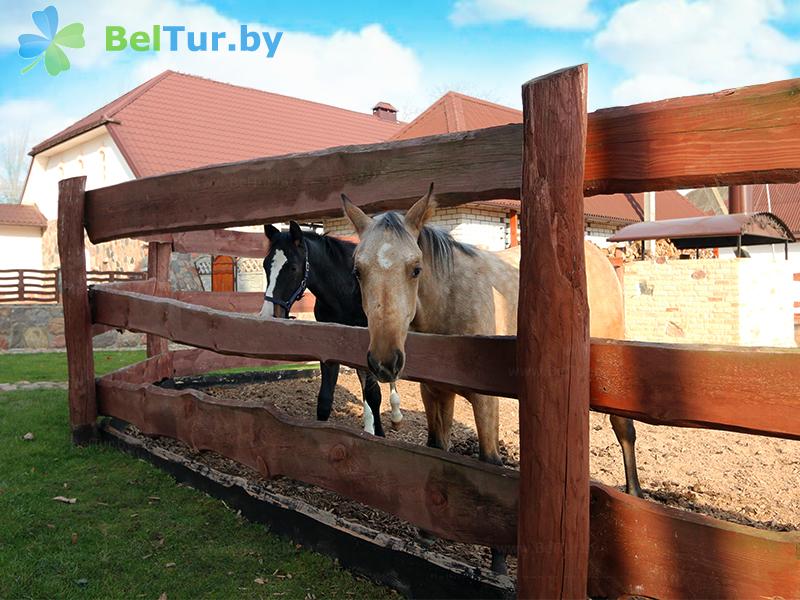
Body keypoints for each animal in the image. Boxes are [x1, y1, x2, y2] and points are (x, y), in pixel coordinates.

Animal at [260, 223, 404, 438]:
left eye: (293, 267)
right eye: (265, 265)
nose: (268, 315)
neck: (347, 292)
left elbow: (374, 394)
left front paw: (380, 435)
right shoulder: (330, 349)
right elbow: (325, 400)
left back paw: (395, 416)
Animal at [340, 185, 640, 490]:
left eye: (415, 269)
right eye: (357, 271)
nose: (384, 362)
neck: (449, 304)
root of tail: (599, 257)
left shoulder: (485, 401)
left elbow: (490, 462)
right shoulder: (435, 392)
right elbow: (438, 449)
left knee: (623, 427)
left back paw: (634, 491)